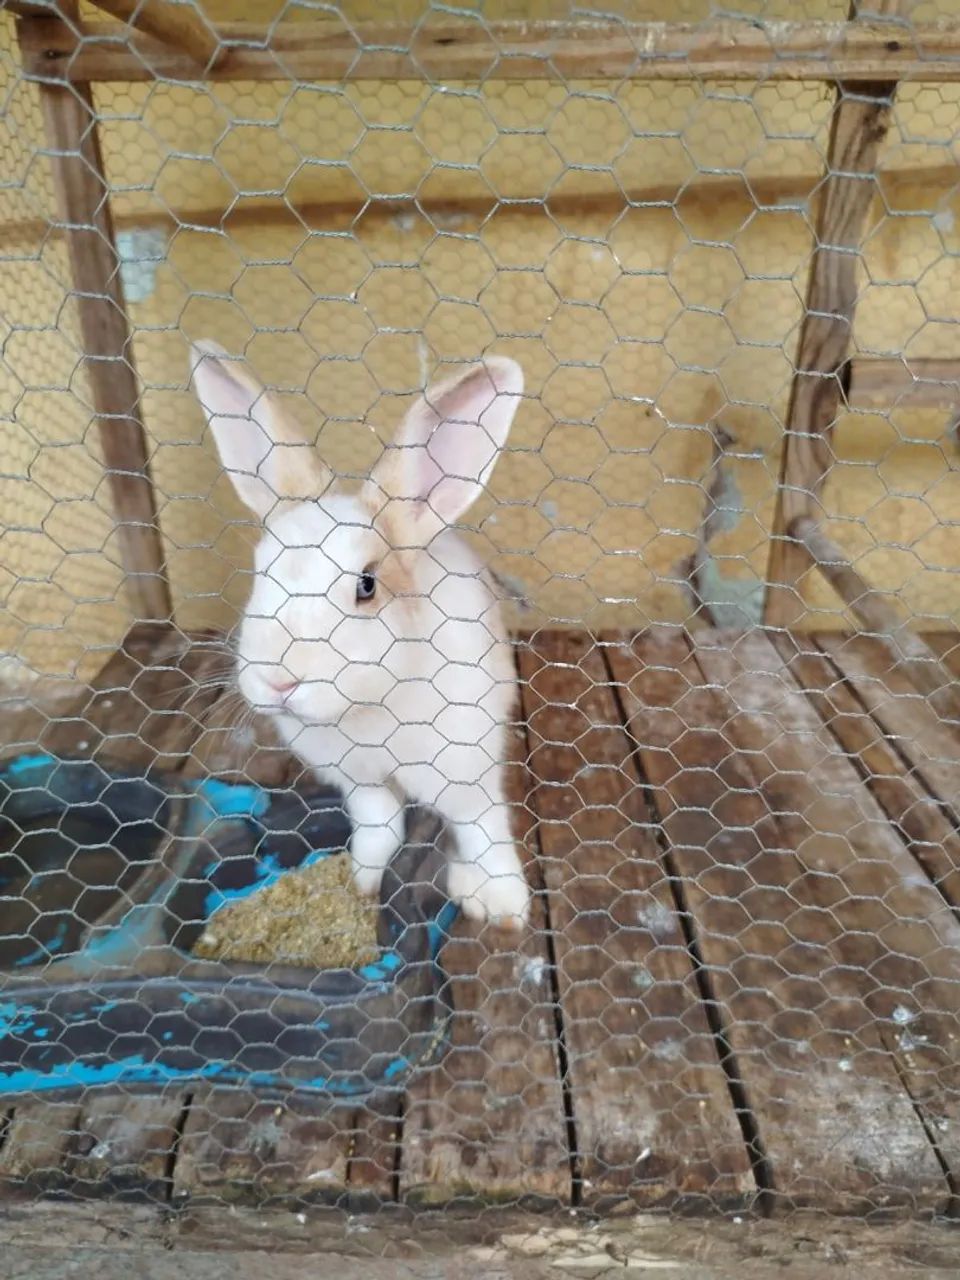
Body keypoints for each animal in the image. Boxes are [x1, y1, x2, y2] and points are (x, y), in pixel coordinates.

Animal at [190, 340, 531, 929]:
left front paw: (507, 905)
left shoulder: (465, 775)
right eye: (260, 570)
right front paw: (363, 882)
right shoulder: (361, 781)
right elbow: (380, 827)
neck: (369, 707)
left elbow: (483, 831)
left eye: (366, 585)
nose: (279, 682)